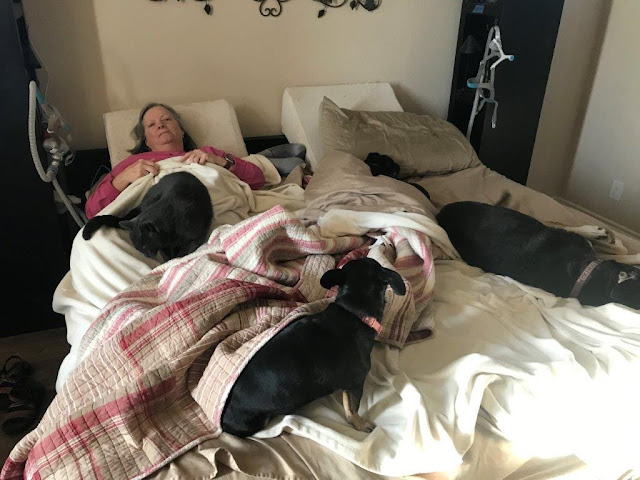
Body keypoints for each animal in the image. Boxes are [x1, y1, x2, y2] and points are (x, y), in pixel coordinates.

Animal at [83, 171, 213, 260]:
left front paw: (177, 258)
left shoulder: (197, 235)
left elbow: (187, 250)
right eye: (138, 249)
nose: (147, 256)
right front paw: (171, 258)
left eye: (144, 247)